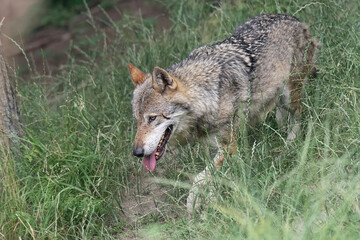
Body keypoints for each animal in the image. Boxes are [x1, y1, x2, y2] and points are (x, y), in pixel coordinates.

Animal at [128, 13, 320, 212]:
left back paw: (290, 143)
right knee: (281, 114)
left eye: (152, 118)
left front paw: (193, 205)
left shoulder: (229, 146)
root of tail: (294, 18)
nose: (137, 152)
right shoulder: (216, 147)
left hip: (290, 96)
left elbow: (199, 179)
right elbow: (212, 178)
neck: (209, 95)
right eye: (137, 120)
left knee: (298, 114)